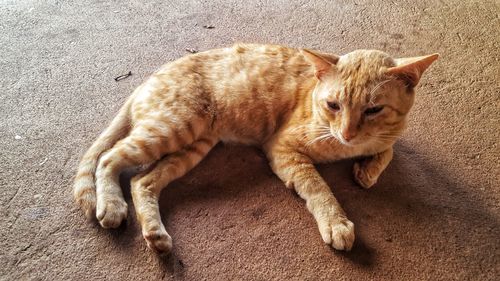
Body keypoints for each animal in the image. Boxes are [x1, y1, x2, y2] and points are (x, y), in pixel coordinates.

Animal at [73, 42, 438, 253]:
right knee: (109, 158)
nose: (347, 133)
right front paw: (336, 223)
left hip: (192, 145)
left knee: (141, 181)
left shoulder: (387, 137)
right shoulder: (283, 149)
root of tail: (146, 80)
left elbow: (389, 149)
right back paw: (112, 206)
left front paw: (367, 171)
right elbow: (319, 188)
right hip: (171, 128)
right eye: (334, 105)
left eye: (373, 110)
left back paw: (156, 236)